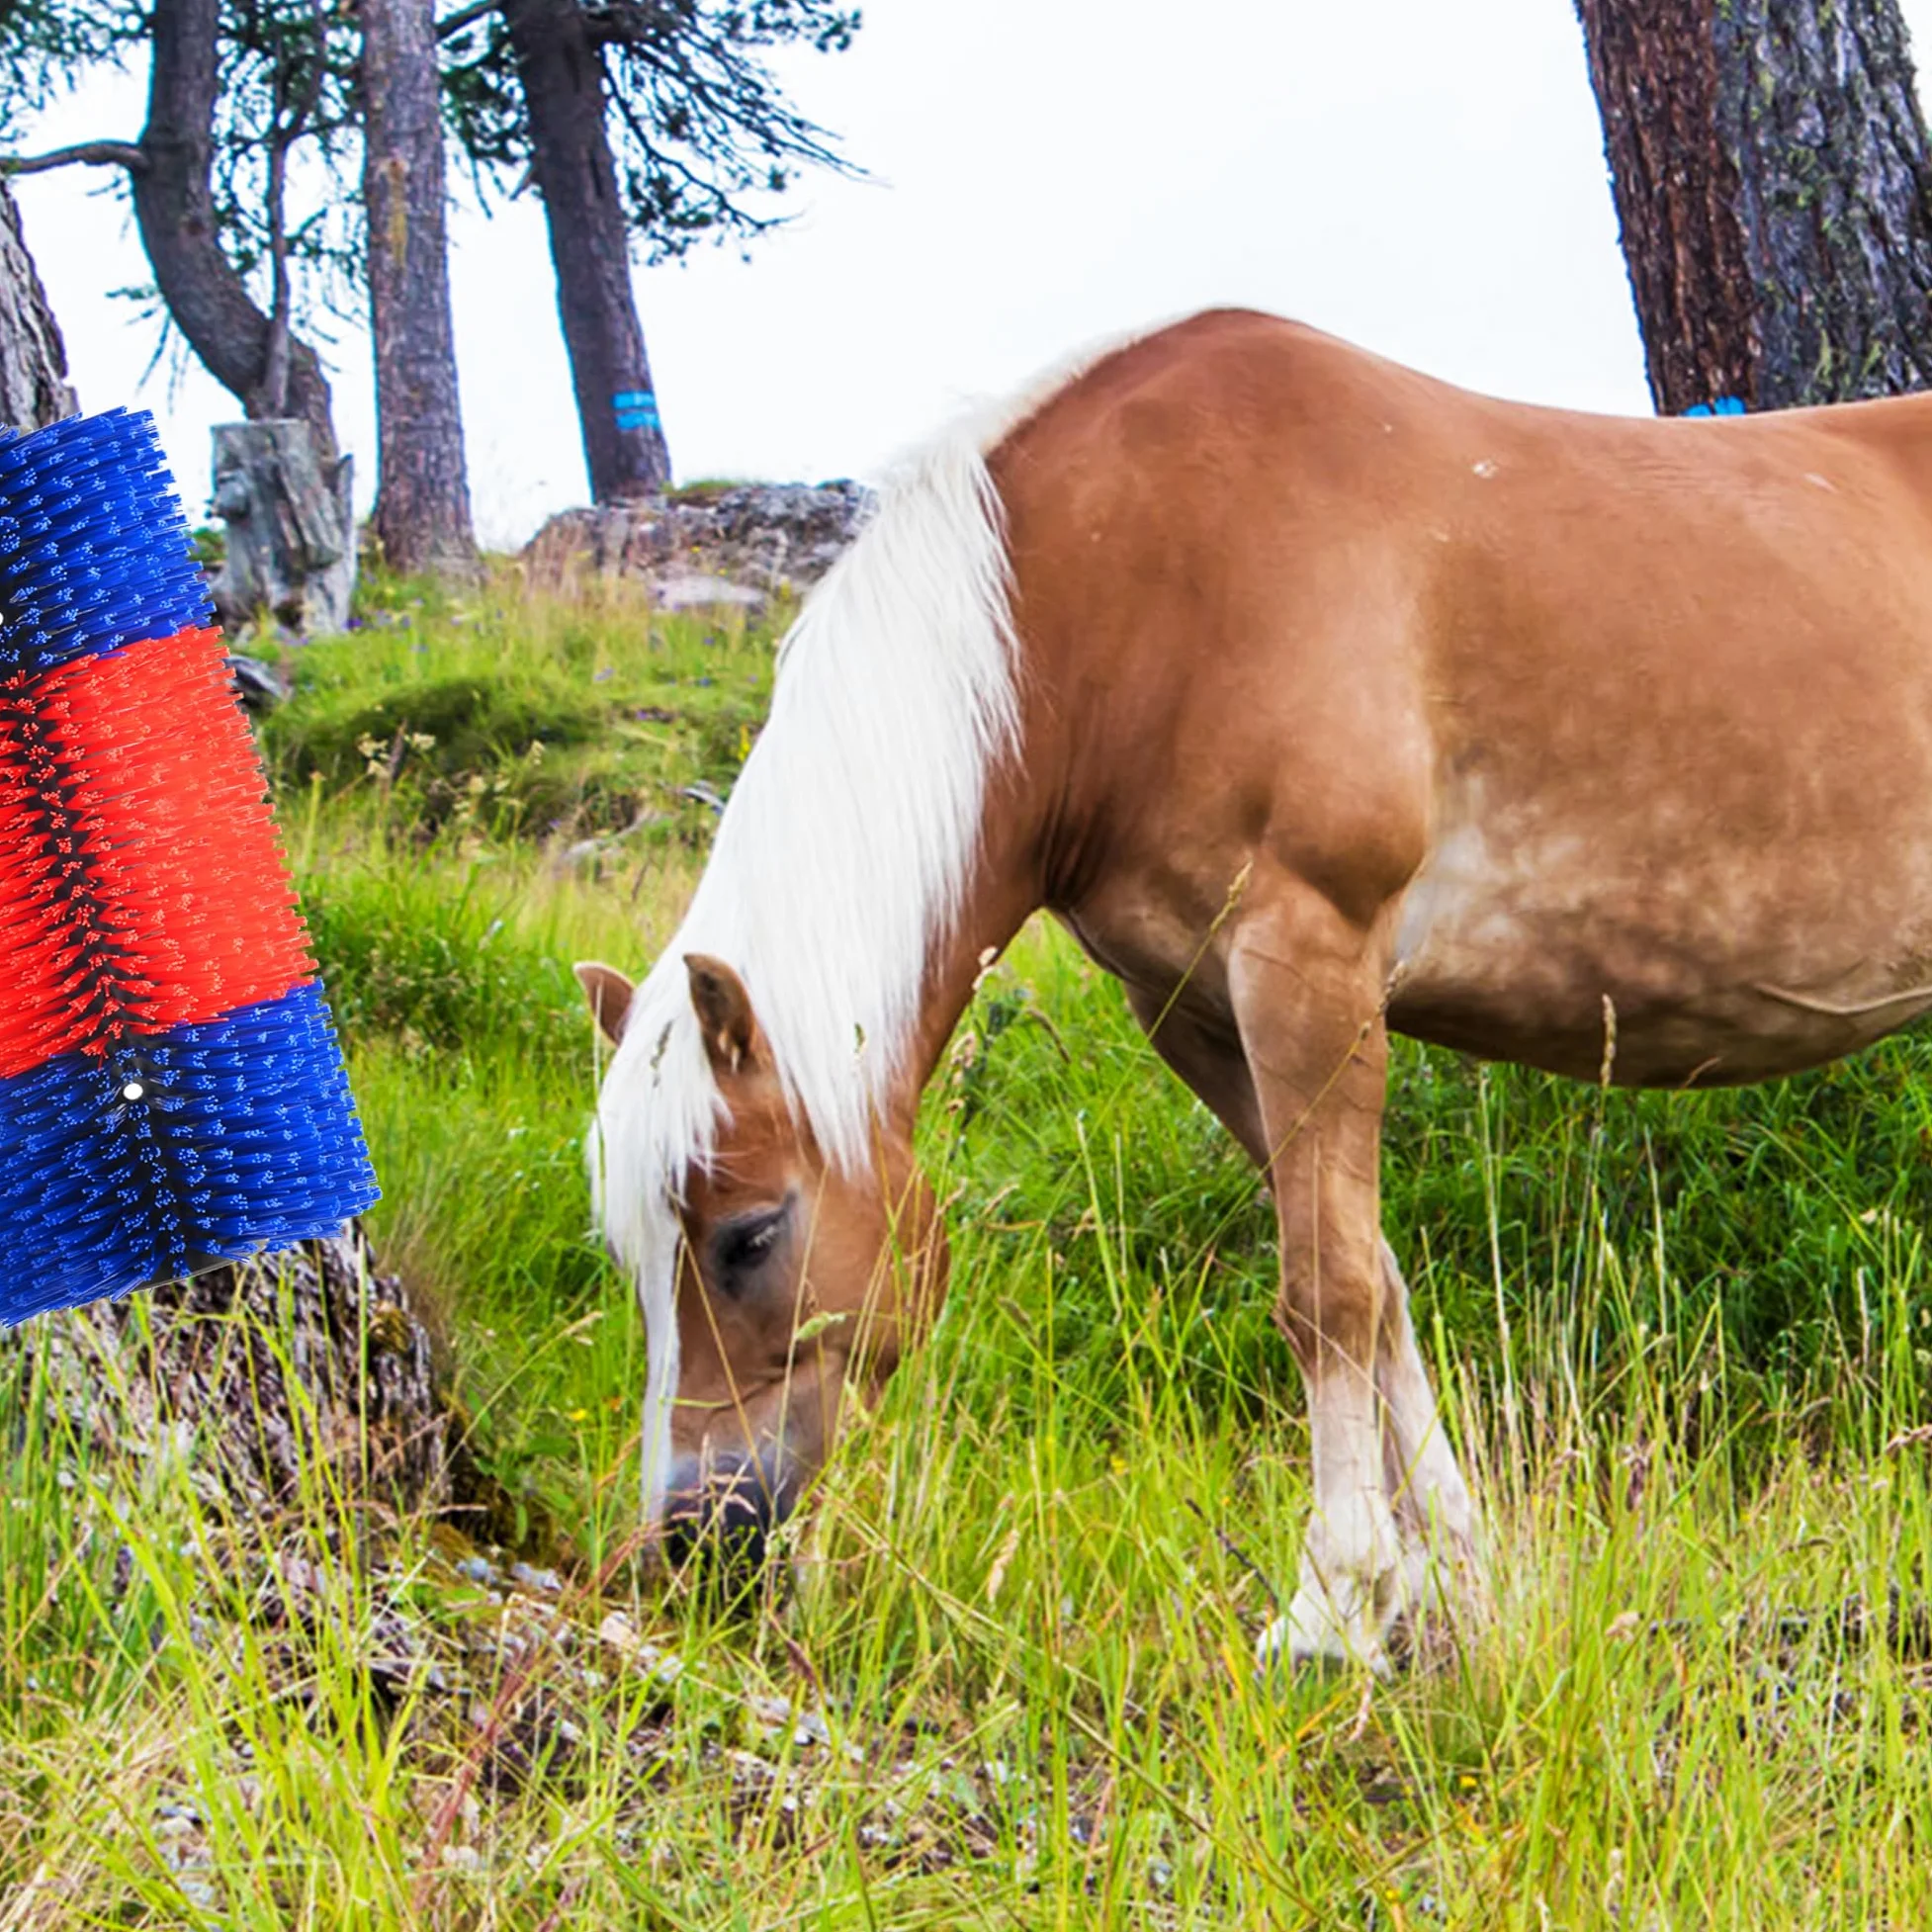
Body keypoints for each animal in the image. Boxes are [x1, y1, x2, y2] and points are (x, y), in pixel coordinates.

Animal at [580, 307, 1932, 1672]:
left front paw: (1330, 1605)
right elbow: (1376, 1283)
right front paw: (1455, 1586)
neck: (1127, 587)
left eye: (749, 1234)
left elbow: (1326, 1293)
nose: (693, 1539)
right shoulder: (1196, 1011)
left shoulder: (1307, 968)